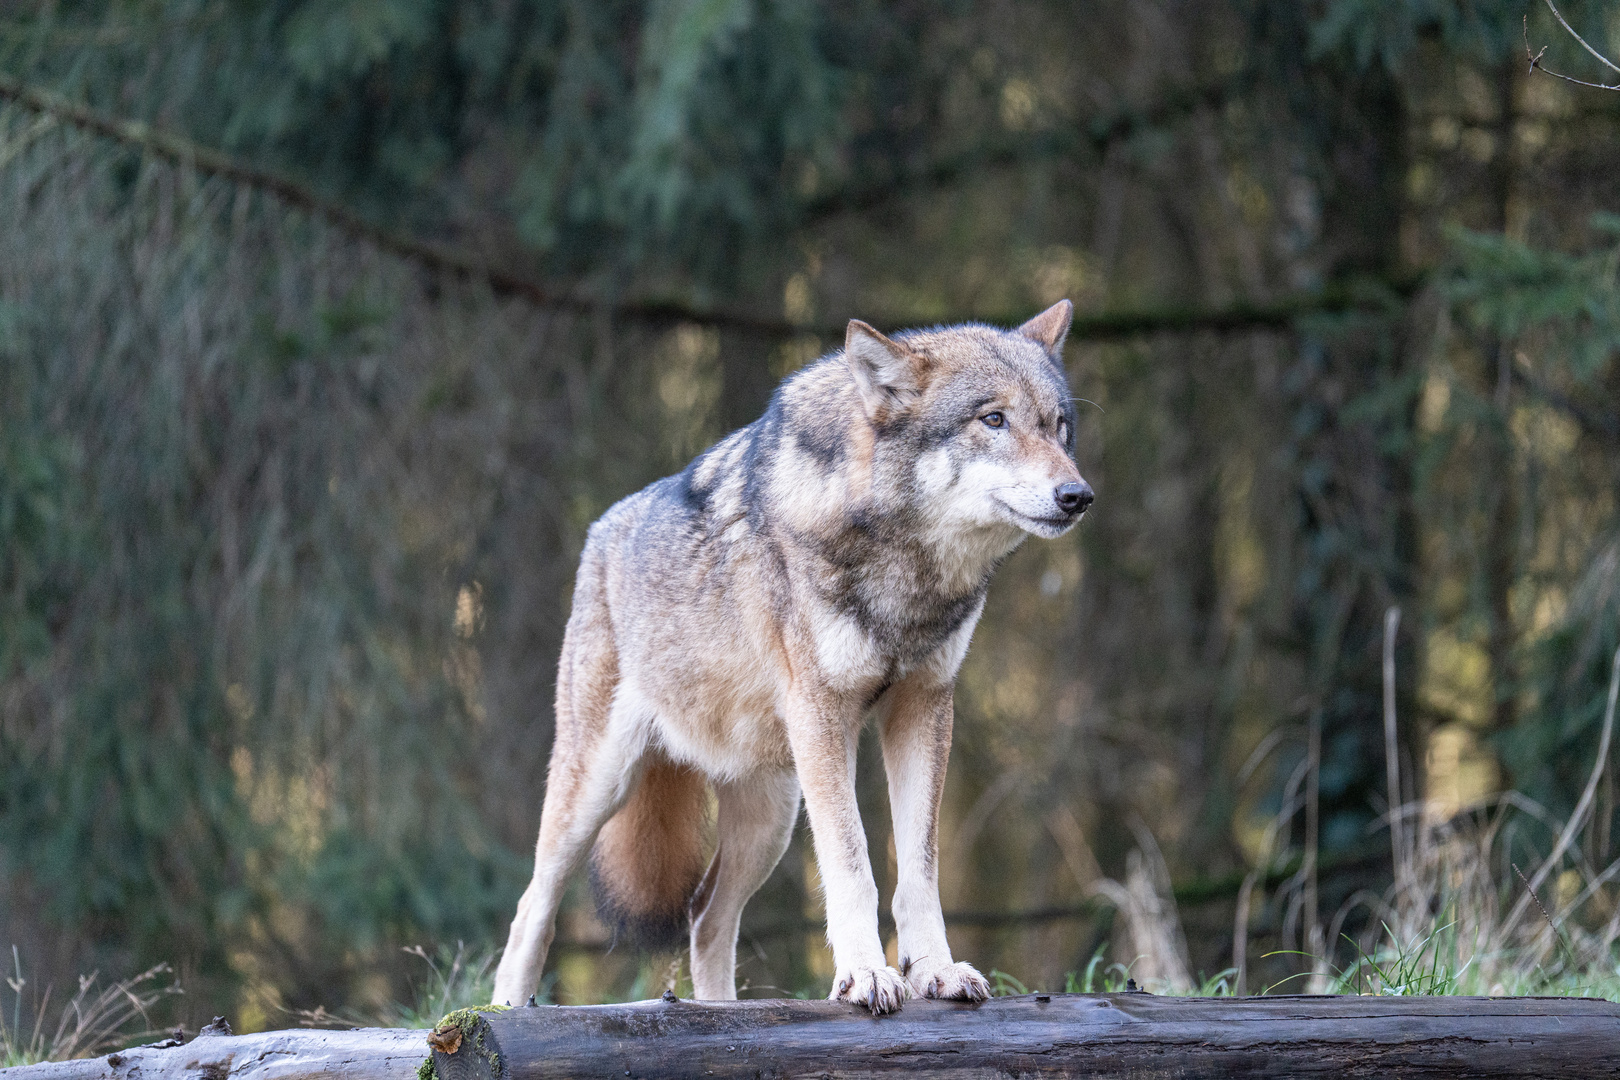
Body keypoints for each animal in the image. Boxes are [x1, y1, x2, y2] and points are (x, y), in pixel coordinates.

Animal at [492, 297, 1095, 1016]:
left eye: (1060, 428)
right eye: (994, 420)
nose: (1078, 496)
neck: (907, 571)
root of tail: (601, 532)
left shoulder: (924, 707)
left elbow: (919, 870)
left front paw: (935, 971)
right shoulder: (823, 714)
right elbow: (852, 863)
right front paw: (865, 974)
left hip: (770, 818)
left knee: (706, 917)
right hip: (599, 788)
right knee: (531, 909)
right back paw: (501, 1013)